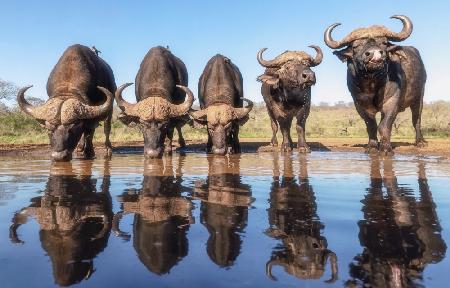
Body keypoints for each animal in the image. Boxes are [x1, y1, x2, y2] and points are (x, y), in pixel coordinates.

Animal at [324, 15, 426, 155]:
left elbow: (384, 125)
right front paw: (372, 147)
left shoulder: (391, 102)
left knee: (417, 119)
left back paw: (420, 142)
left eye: (384, 42)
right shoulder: (360, 104)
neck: (372, 84)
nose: (374, 53)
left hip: (419, 97)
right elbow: (371, 125)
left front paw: (386, 148)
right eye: (356, 46)